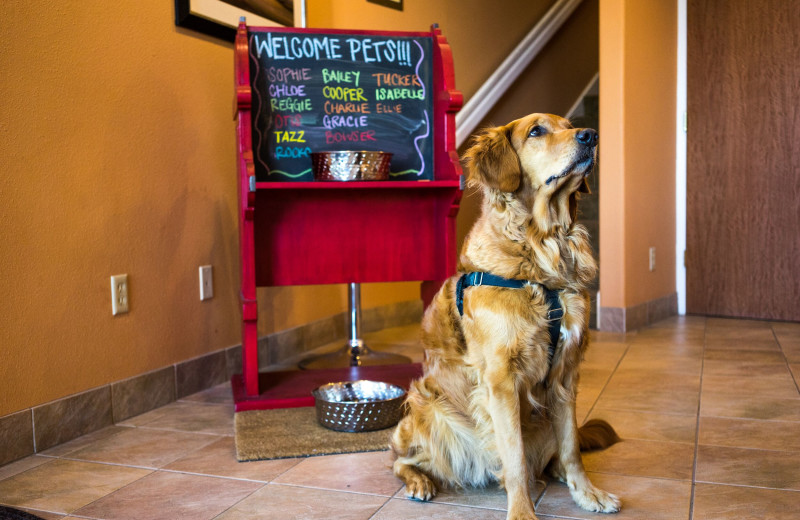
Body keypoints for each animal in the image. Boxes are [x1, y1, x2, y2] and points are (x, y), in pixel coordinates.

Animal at [390, 111, 620, 516]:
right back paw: (419, 481)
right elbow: (514, 459)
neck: (543, 253)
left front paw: (586, 493)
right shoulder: (500, 379)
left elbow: (572, 449)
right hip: (425, 408)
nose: (591, 136)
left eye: (569, 125)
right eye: (536, 131)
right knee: (403, 459)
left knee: (557, 455)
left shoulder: (566, 374)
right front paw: (523, 512)